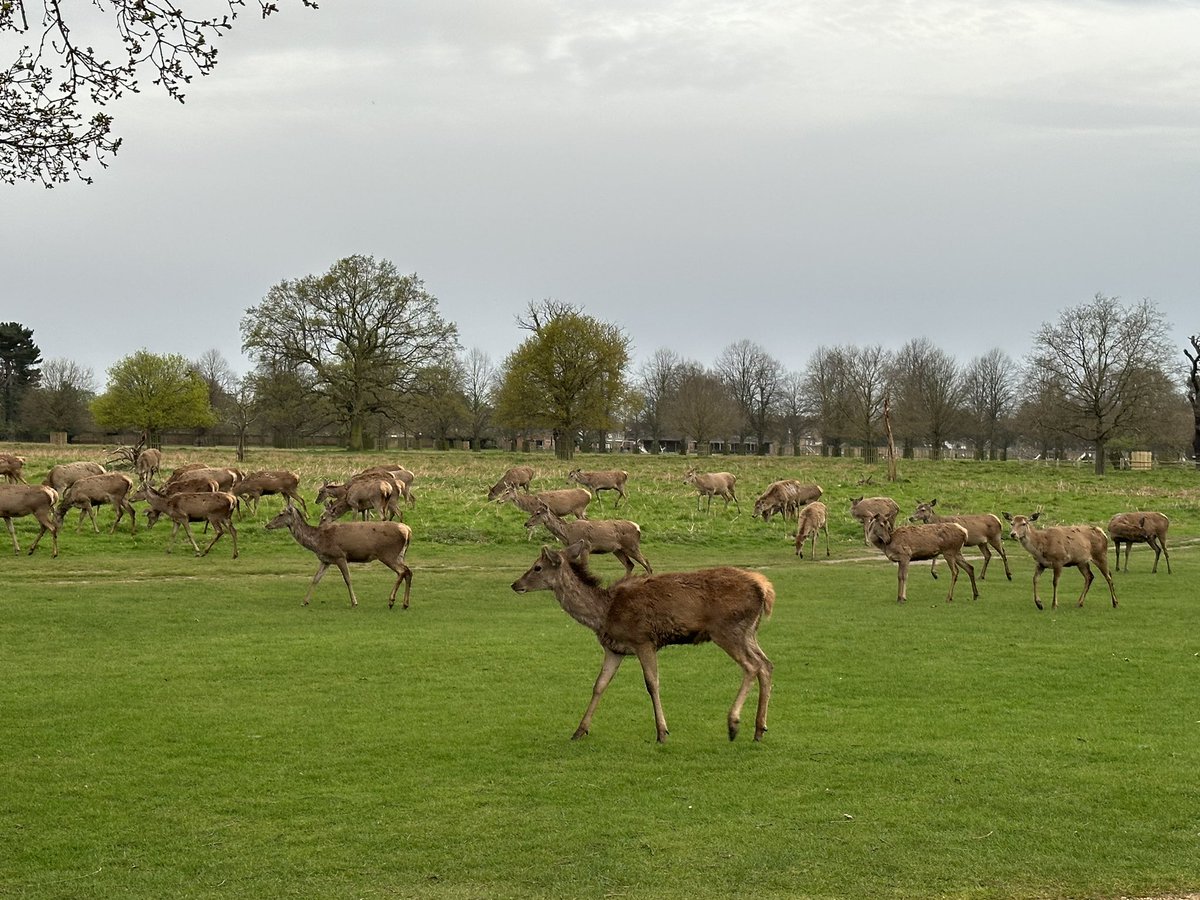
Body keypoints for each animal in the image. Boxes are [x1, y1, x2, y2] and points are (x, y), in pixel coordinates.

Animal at [508, 542, 772, 748]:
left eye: (537, 567)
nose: (515, 584)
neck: (603, 614)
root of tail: (765, 589)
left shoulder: (643, 639)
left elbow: (652, 684)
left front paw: (662, 732)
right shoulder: (614, 649)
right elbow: (599, 685)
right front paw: (579, 730)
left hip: (727, 629)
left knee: (752, 666)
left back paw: (733, 724)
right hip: (749, 632)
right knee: (766, 665)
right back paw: (759, 729)